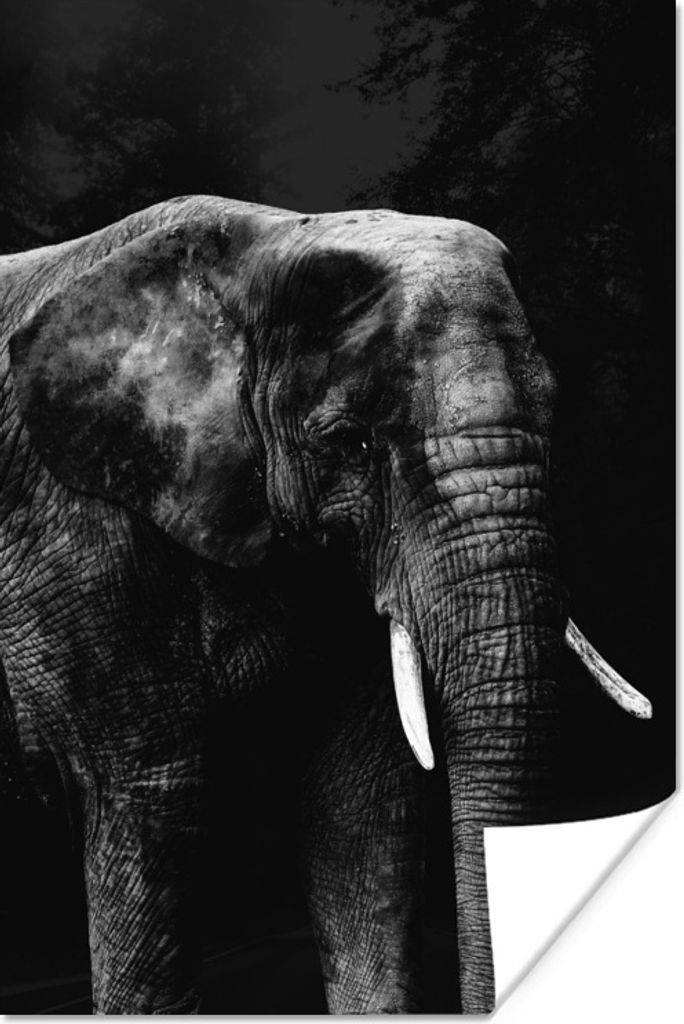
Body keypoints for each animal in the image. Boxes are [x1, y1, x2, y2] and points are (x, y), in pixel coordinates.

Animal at [0, 195, 651, 1014]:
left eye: (554, 414)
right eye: (349, 442)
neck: (261, 247)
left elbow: (361, 817)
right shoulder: (71, 539)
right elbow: (147, 802)